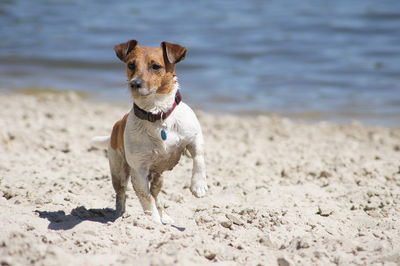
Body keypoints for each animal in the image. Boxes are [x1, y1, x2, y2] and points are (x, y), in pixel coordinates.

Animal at [92, 39, 208, 222]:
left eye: (156, 66)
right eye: (131, 65)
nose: (134, 83)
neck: (157, 114)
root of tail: (118, 124)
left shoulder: (194, 138)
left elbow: (199, 158)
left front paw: (198, 186)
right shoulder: (138, 171)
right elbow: (146, 199)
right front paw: (153, 221)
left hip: (158, 177)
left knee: (155, 194)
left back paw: (164, 216)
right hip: (119, 171)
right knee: (122, 194)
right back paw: (120, 214)